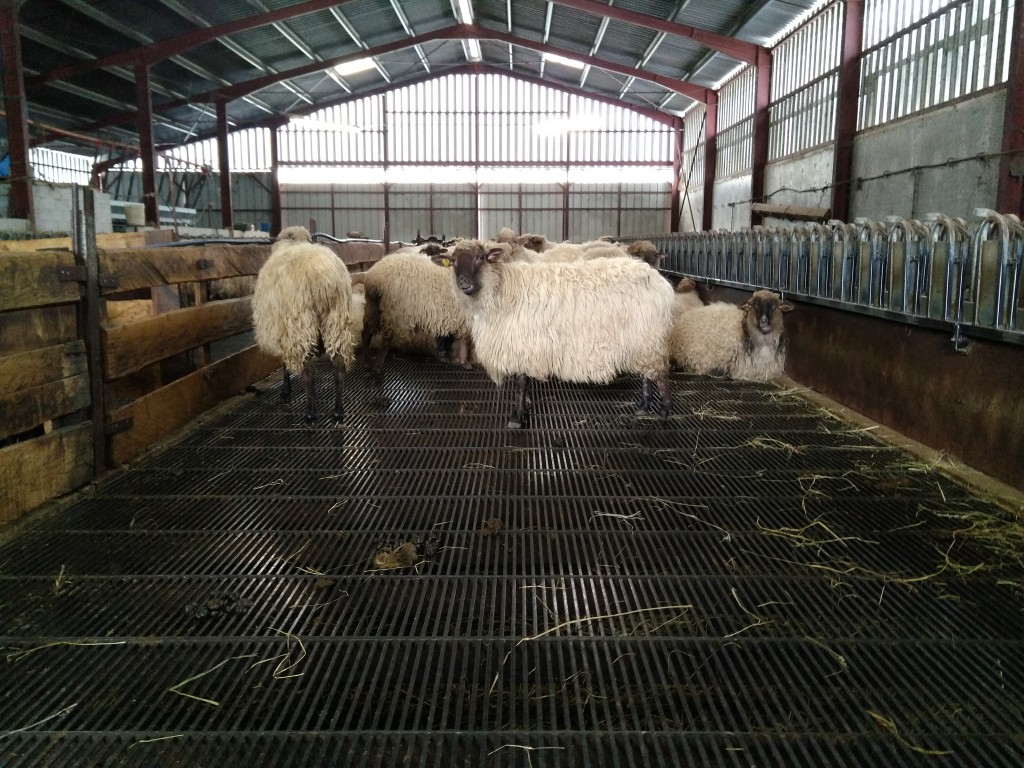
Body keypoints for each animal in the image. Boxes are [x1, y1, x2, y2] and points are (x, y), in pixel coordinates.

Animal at [251, 225, 356, 423]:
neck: (292, 242)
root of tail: (324, 276)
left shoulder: (283, 328)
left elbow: (284, 364)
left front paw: (285, 391)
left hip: (300, 323)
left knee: (309, 372)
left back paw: (310, 414)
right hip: (336, 319)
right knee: (338, 366)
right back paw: (338, 411)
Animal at [440, 239, 675, 428]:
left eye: (480, 258)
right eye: (453, 260)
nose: (463, 283)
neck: (501, 291)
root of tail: (658, 279)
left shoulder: (522, 345)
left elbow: (520, 384)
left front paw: (516, 418)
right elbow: (525, 385)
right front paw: (525, 410)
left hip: (651, 338)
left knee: (661, 375)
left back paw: (663, 411)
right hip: (643, 340)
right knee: (647, 375)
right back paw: (643, 406)